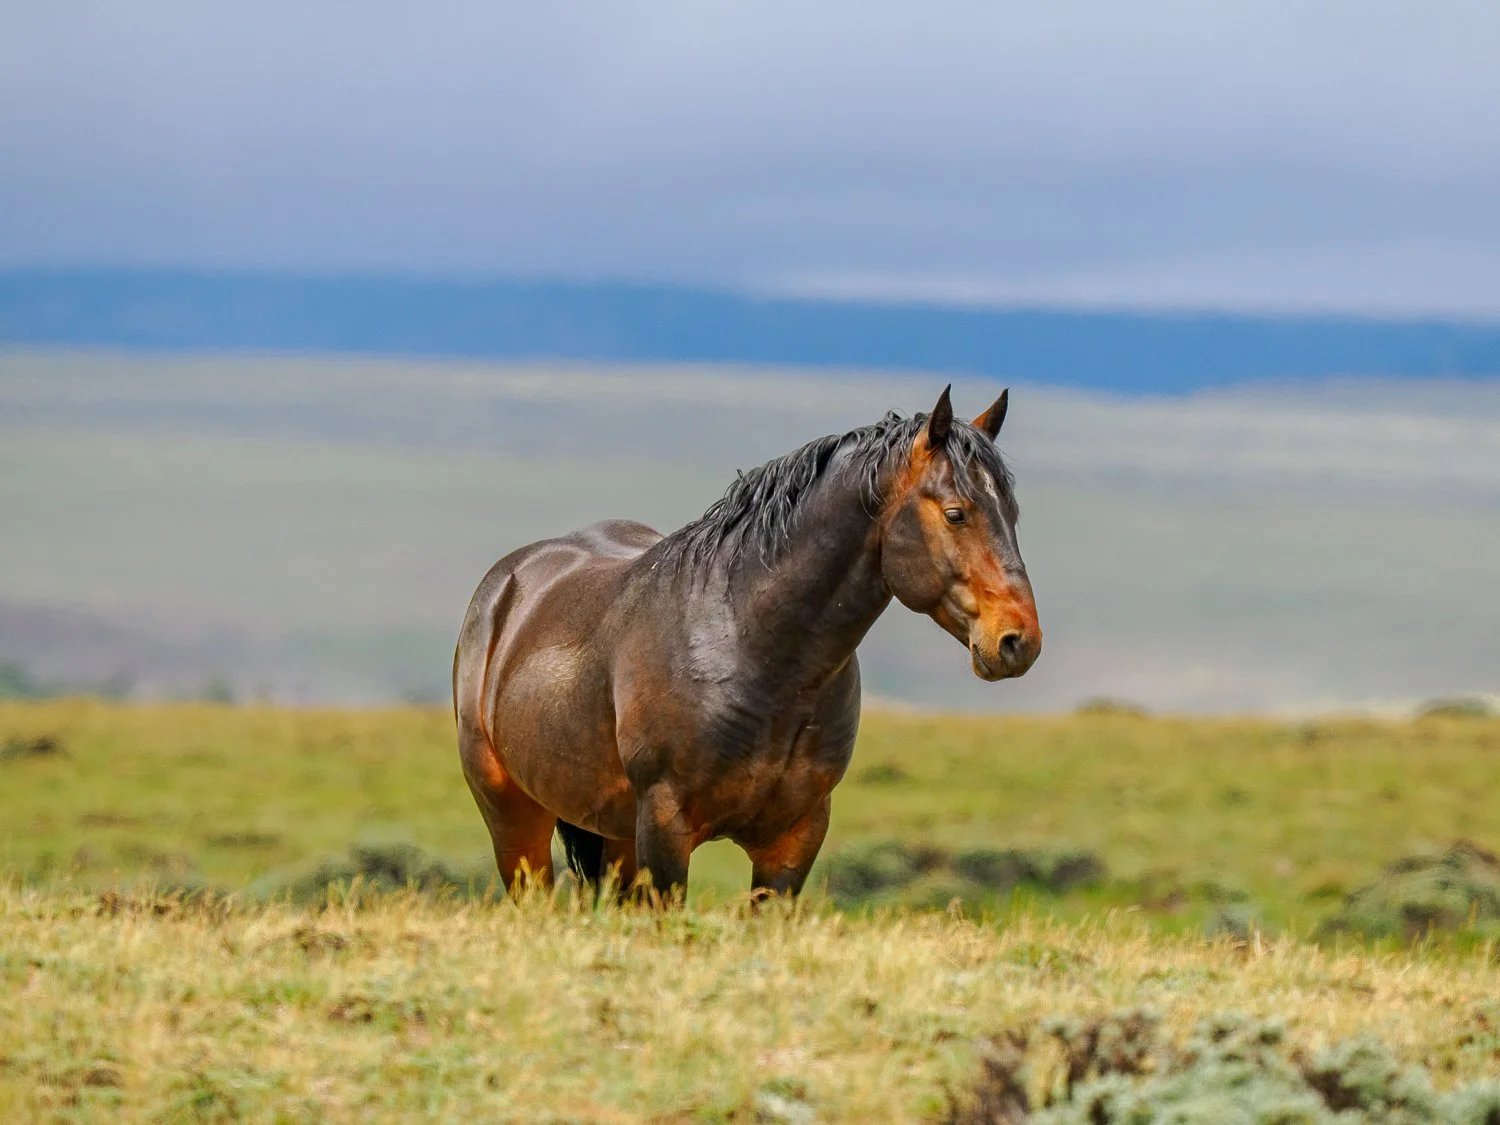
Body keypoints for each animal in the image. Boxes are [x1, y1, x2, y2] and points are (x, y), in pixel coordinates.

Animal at [453, 385, 1041, 901]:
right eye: (956, 514)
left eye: (1014, 514)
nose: (1019, 641)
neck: (755, 654)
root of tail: (509, 583)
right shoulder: (665, 831)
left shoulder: (794, 838)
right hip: (516, 822)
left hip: (615, 836)